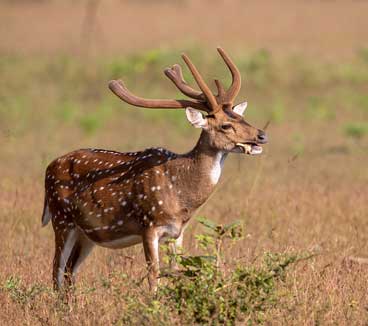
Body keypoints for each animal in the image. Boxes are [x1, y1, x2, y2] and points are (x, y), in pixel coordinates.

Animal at [41, 47, 268, 292]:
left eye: (242, 117)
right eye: (225, 125)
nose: (262, 135)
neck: (180, 192)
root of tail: (49, 167)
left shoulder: (177, 232)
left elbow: (177, 270)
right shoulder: (148, 224)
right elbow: (153, 275)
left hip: (87, 234)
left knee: (70, 273)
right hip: (61, 219)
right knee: (56, 271)